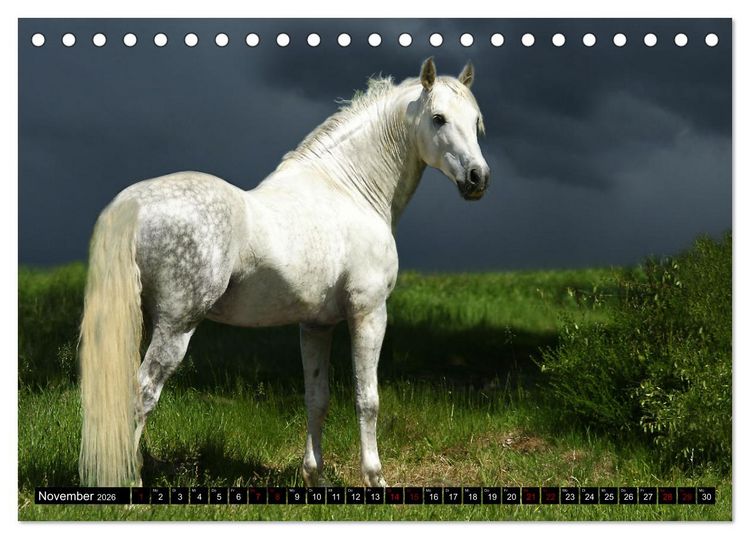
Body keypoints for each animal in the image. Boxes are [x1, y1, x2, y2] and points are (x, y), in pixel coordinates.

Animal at [78, 57, 490, 488]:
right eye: (439, 118)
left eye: (475, 120)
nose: (478, 178)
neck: (348, 191)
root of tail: (130, 206)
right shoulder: (369, 314)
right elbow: (368, 399)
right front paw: (374, 478)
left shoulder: (316, 325)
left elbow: (316, 398)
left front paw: (314, 477)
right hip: (175, 326)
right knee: (142, 394)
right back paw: (130, 481)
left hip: (140, 321)